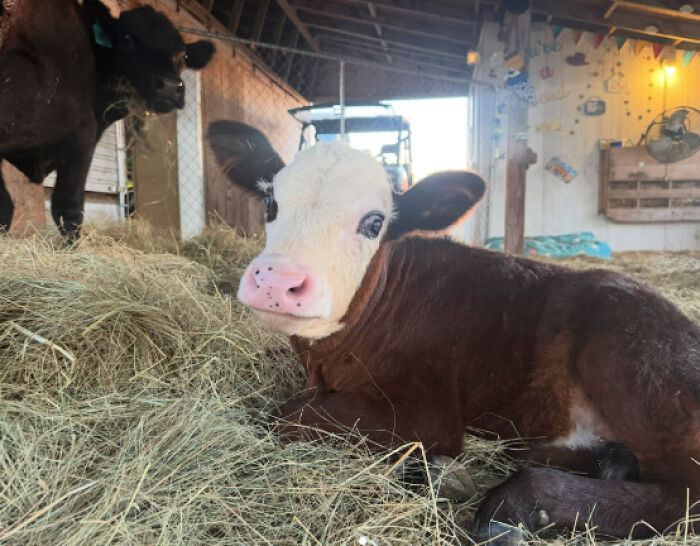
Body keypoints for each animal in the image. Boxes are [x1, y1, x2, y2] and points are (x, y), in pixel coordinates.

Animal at [0, 0, 214, 238]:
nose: (169, 86)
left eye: (184, 55)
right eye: (128, 37)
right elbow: (69, 209)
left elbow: (6, 208)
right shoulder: (81, 137)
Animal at [208, 120, 699, 542]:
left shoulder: (427, 410)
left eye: (374, 223)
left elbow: (284, 415)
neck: (326, 363)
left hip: (630, 358)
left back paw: (513, 506)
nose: (276, 279)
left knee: (684, 496)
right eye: (271, 204)